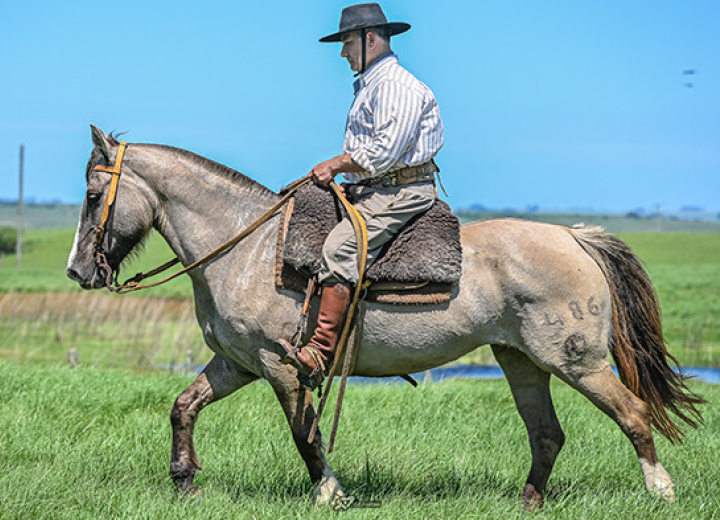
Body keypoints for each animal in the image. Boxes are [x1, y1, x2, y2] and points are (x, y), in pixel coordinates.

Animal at [69, 127, 704, 508]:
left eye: (94, 196)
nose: (78, 272)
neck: (245, 247)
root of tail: (573, 236)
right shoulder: (238, 363)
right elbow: (184, 406)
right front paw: (183, 480)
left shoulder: (281, 367)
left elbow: (305, 435)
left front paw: (330, 494)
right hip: (521, 362)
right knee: (547, 434)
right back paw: (528, 503)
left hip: (578, 362)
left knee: (633, 414)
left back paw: (661, 492)